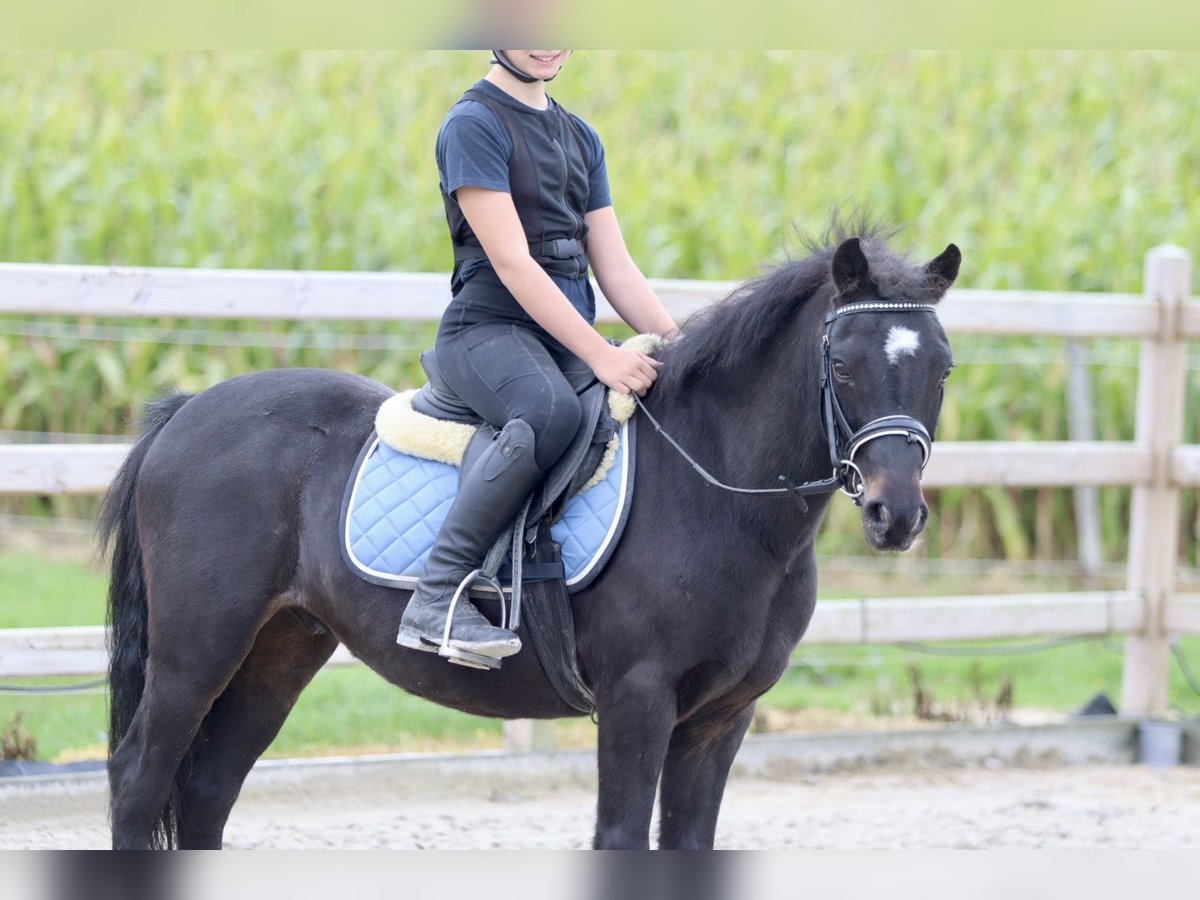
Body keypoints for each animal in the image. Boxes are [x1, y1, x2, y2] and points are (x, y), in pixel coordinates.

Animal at [103, 225, 960, 854]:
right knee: (140, 777)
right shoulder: (637, 701)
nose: (897, 515)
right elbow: (621, 838)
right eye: (842, 364)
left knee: (207, 790)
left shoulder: (722, 718)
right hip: (196, 652)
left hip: (278, 649)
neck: (719, 493)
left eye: (944, 369)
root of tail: (188, 410)